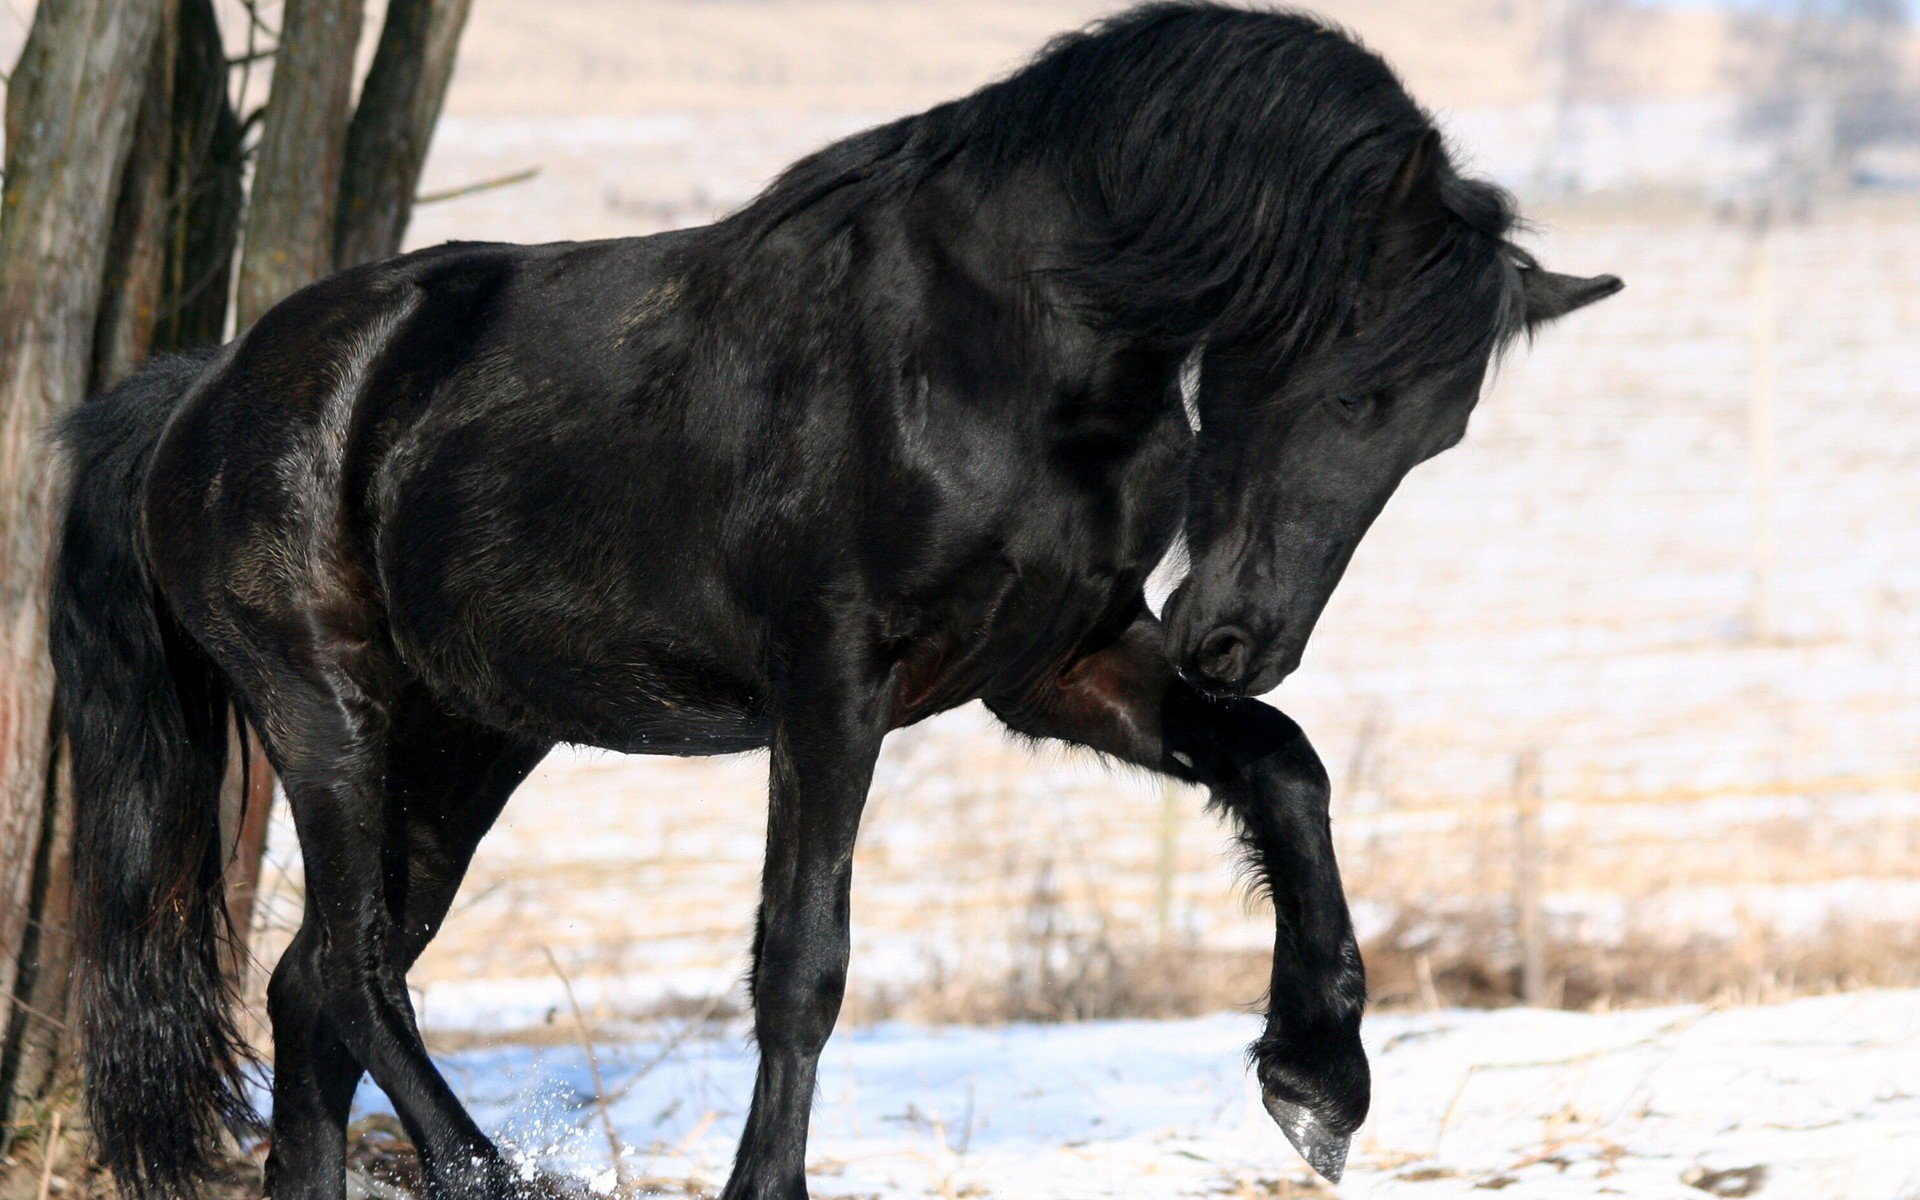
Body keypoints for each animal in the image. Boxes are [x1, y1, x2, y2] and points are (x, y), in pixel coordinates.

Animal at [50, 4, 1619, 1198]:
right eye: (1348, 382)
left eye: (1438, 434)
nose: (1243, 638)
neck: (1005, 346)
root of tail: (205, 392)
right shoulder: (831, 682)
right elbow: (802, 959)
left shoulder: (1058, 668)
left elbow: (1288, 771)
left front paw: (1318, 1081)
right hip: (330, 713)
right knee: (355, 968)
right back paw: (502, 1173)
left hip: (466, 741)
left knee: (313, 992)